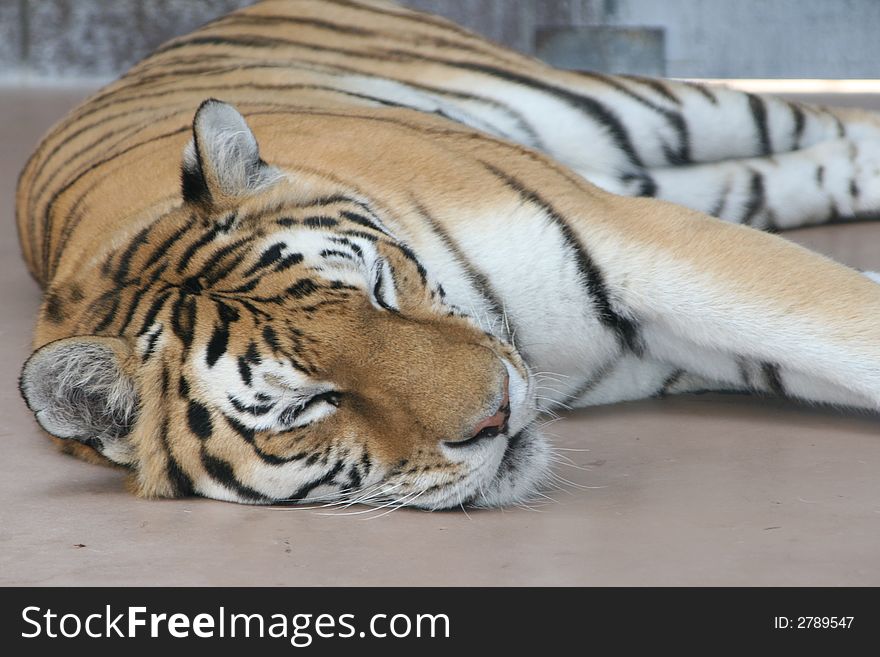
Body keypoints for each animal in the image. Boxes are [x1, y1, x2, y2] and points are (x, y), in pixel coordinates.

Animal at [15, 0, 880, 508]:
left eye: (378, 287)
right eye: (308, 405)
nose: (498, 412)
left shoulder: (640, 237)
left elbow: (847, 327)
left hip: (630, 107)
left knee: (822, 122)